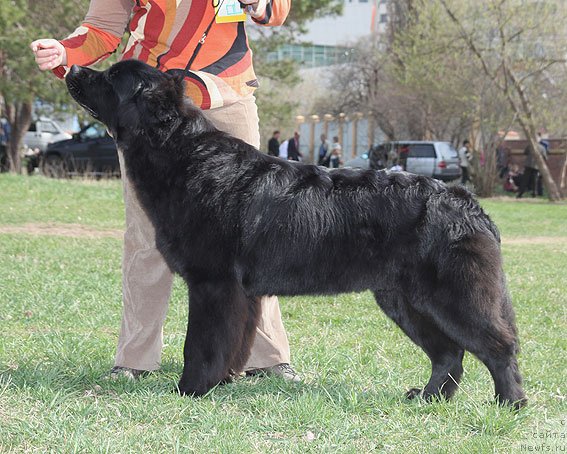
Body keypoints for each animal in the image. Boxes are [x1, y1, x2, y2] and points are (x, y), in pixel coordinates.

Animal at [66, 59, 528, 408]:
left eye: (110, 78)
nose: (71, 67)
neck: (183, 154)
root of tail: (468, 202)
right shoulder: (239, 293)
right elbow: (233, 341)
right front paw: (222, 382)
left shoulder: (213, 284)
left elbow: (201, 344)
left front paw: (191, 389)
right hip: (404, 300)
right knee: (449, 353)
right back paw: (429, 398)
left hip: (450, 295)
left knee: (498, 346)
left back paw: (509, 403)